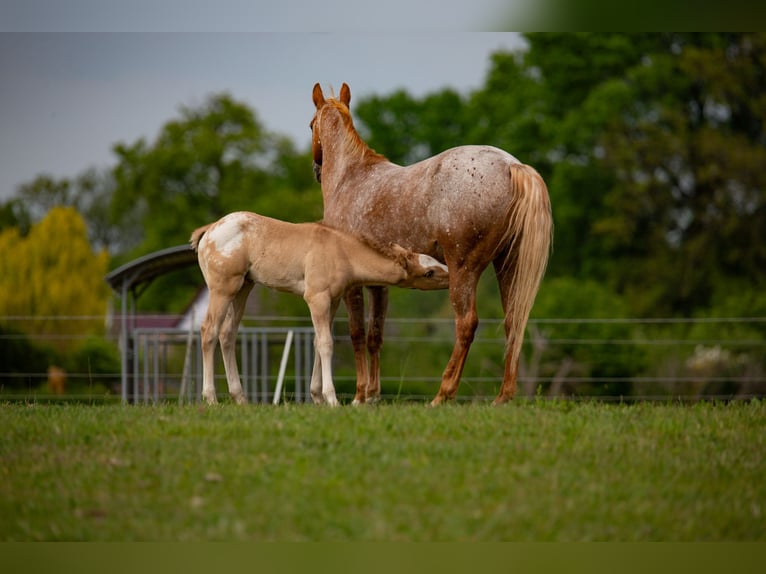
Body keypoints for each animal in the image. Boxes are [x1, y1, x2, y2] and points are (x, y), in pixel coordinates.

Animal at [190, 211, 449, 406]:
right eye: (429, 272)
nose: (451, 277)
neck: (343, 252)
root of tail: (210, 230)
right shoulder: (317, 298)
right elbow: (326, 343)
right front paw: (331, 399)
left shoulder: (332, 300)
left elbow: (317, 342)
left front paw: (316, 397)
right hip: (223, 288)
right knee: (209, 331)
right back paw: (211, 398)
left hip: (244, 287)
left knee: (227, 334)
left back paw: (240, 399)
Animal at [310, 83, 553, 406]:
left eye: (310, 124)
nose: (316, 169)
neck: (351, 179)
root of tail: (511, 165)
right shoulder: (379, 285)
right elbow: (375, 335)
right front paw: (373, 395)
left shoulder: (353, 285)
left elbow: (357, 333)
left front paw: (360, 395)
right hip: (508, 266)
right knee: (513, 321)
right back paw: (502, 397)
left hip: (463, 270)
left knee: (466, 324)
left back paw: (443, 395)